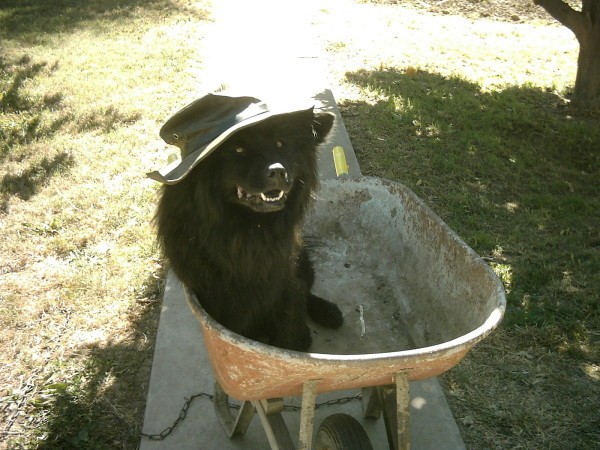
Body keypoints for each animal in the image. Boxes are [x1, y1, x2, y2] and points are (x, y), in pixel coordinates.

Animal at [155, 105, 342, 352]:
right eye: (238, 149)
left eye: (280, 144)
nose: (278, 171)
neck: (248, 232)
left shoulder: (284, 281)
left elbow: (290, 315)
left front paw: (296, 341)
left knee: (306, 288)